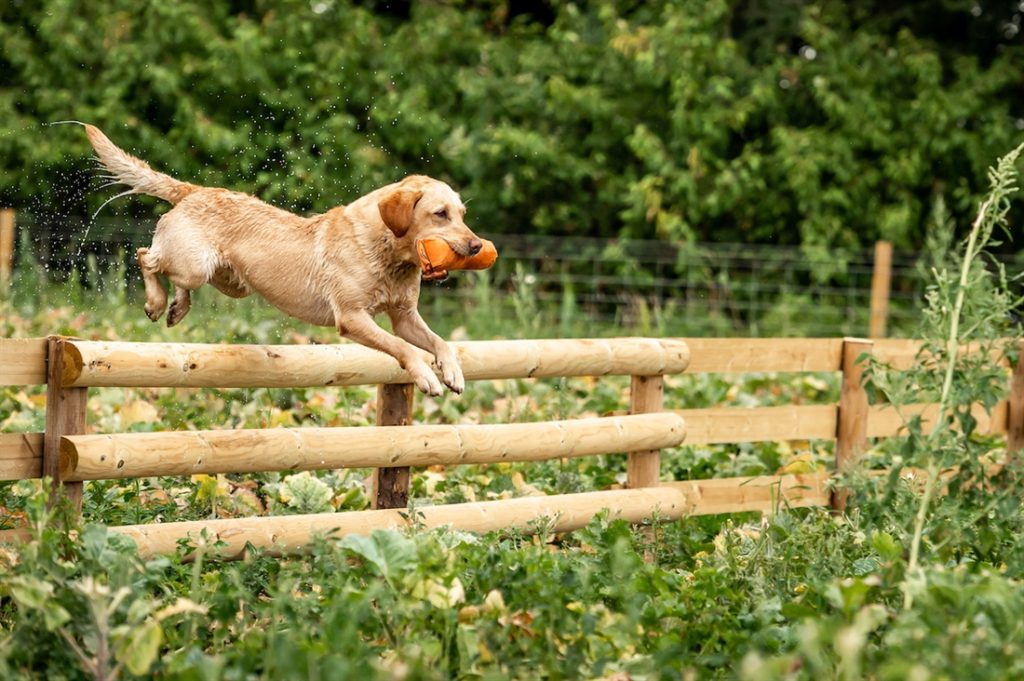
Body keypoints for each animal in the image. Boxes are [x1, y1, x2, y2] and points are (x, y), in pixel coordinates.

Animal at [83, 124, 479, 395]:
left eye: (462, 214)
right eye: (440, 214)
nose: (477, 246)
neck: (385, 251)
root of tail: (195, 190)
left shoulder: (404, 317)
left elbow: (440, 342)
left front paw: (452, 371)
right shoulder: (352, 318)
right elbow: (402, 348)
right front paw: (426, 376)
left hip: (230, 282)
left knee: (172, 275)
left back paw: (177, 308)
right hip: (194, 265)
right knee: (146, 256)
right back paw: (156, 301)